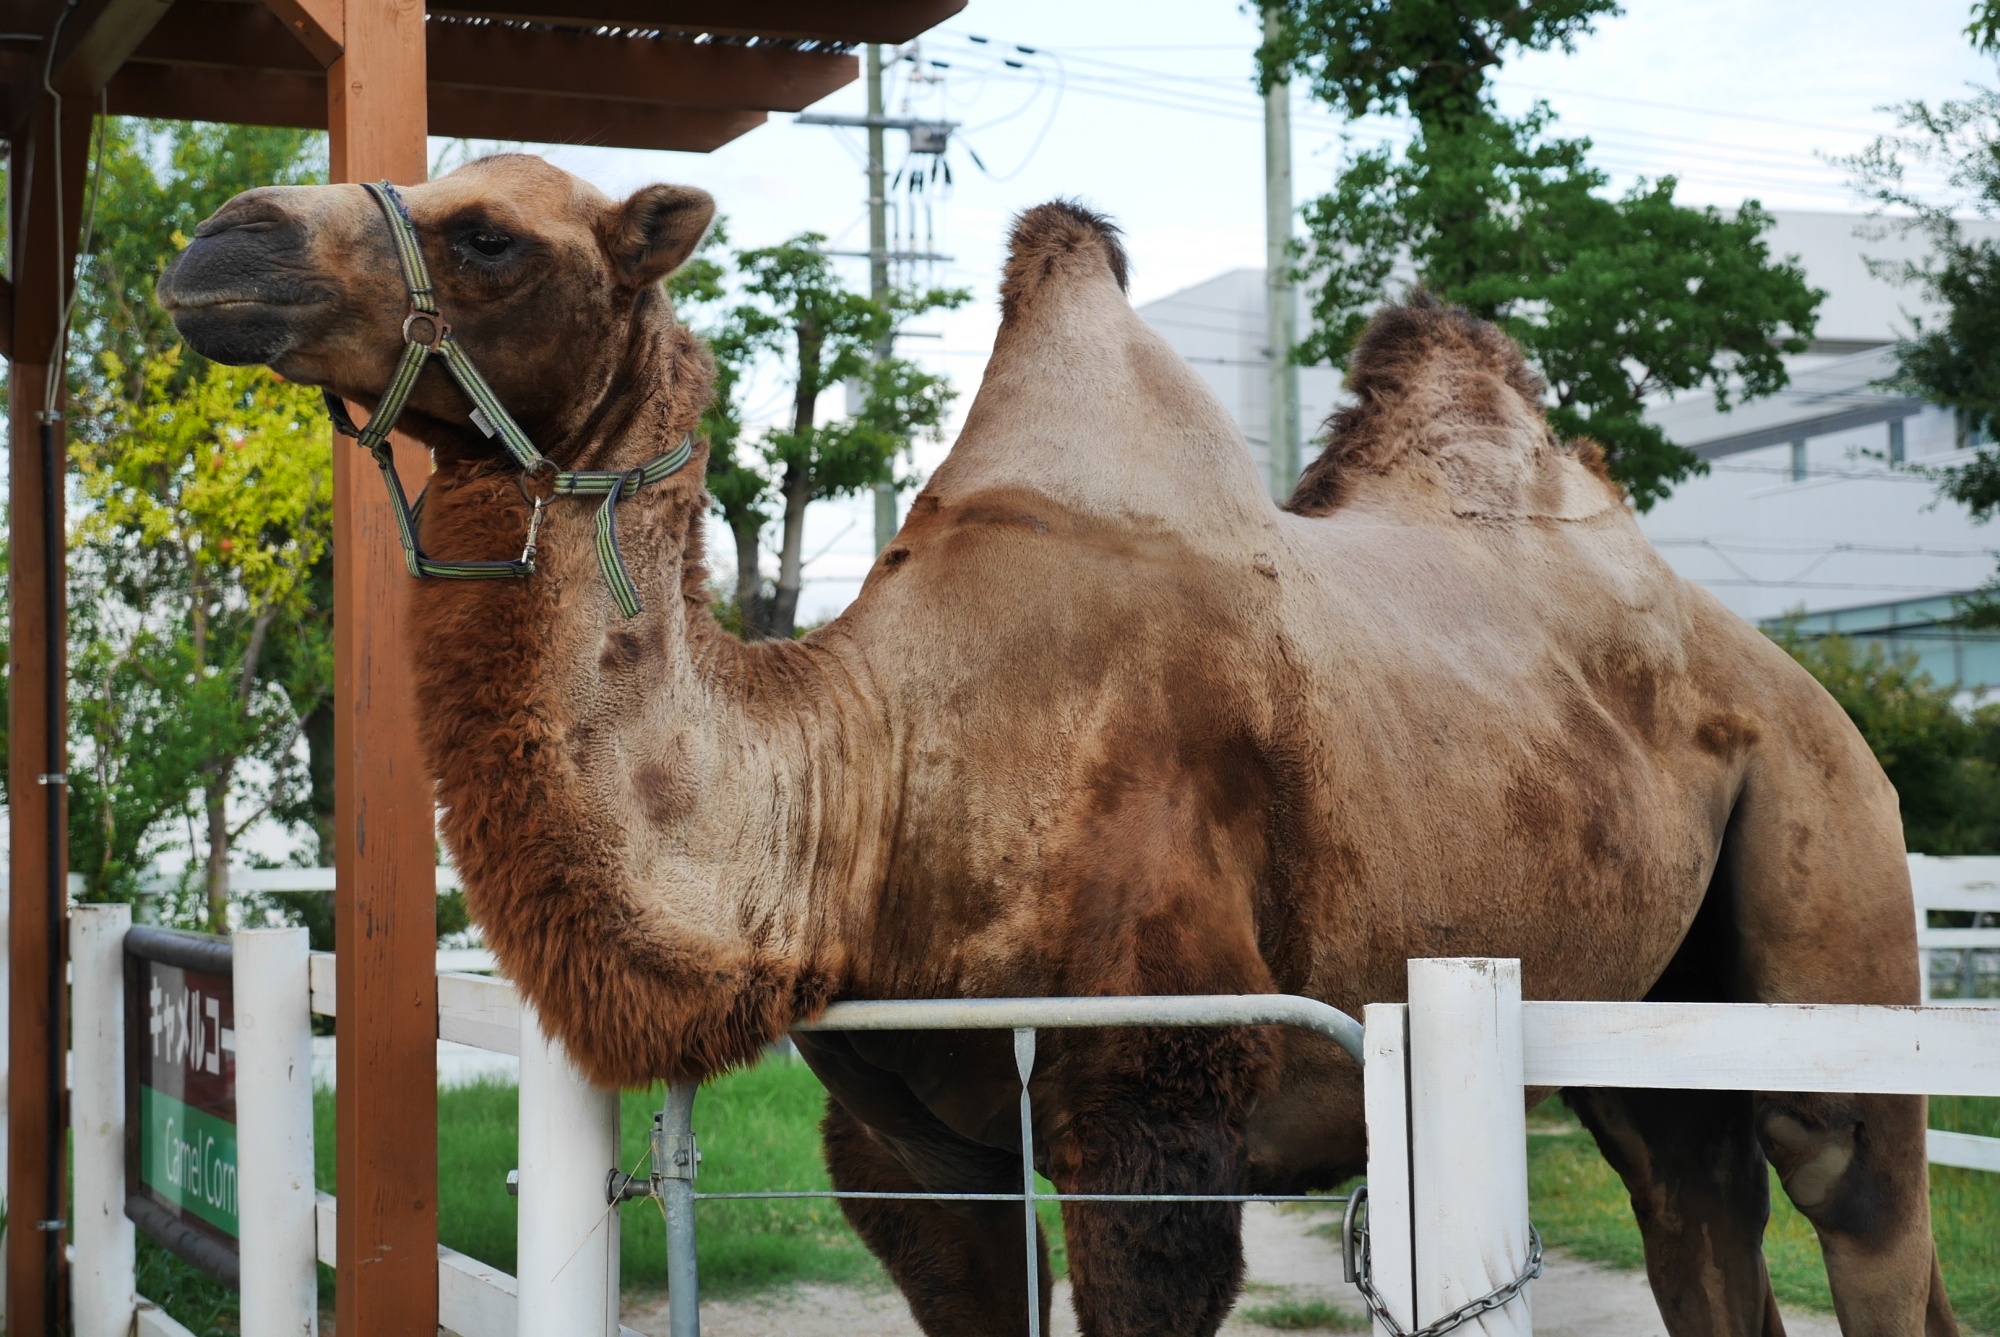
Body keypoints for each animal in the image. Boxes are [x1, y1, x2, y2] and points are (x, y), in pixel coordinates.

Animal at [160, 157, 1952, 1337]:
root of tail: (1801, 685)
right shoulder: (907, 1145)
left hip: (1830, 873)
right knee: (1691, 1199)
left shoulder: (1154, 1104)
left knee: (1857, 1200)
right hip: (1635, 1011)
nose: (220, 243)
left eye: (491, 234)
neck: (872, 772)